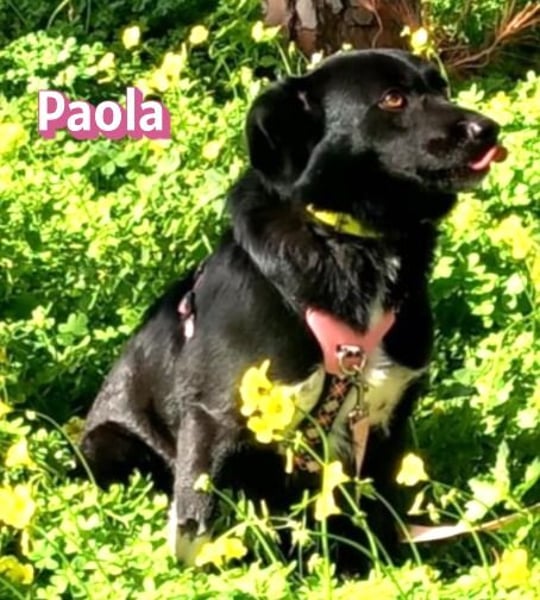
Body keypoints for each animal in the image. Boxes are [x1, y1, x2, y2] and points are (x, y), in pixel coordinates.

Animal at [81, 49, 506, 572]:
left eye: (440, 87)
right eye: (392, 98)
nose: (489, 129)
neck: (352, 243)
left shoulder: (387, 422)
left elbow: (380, 511)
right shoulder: (212, 416)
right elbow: (196, 523)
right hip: (110, 444)